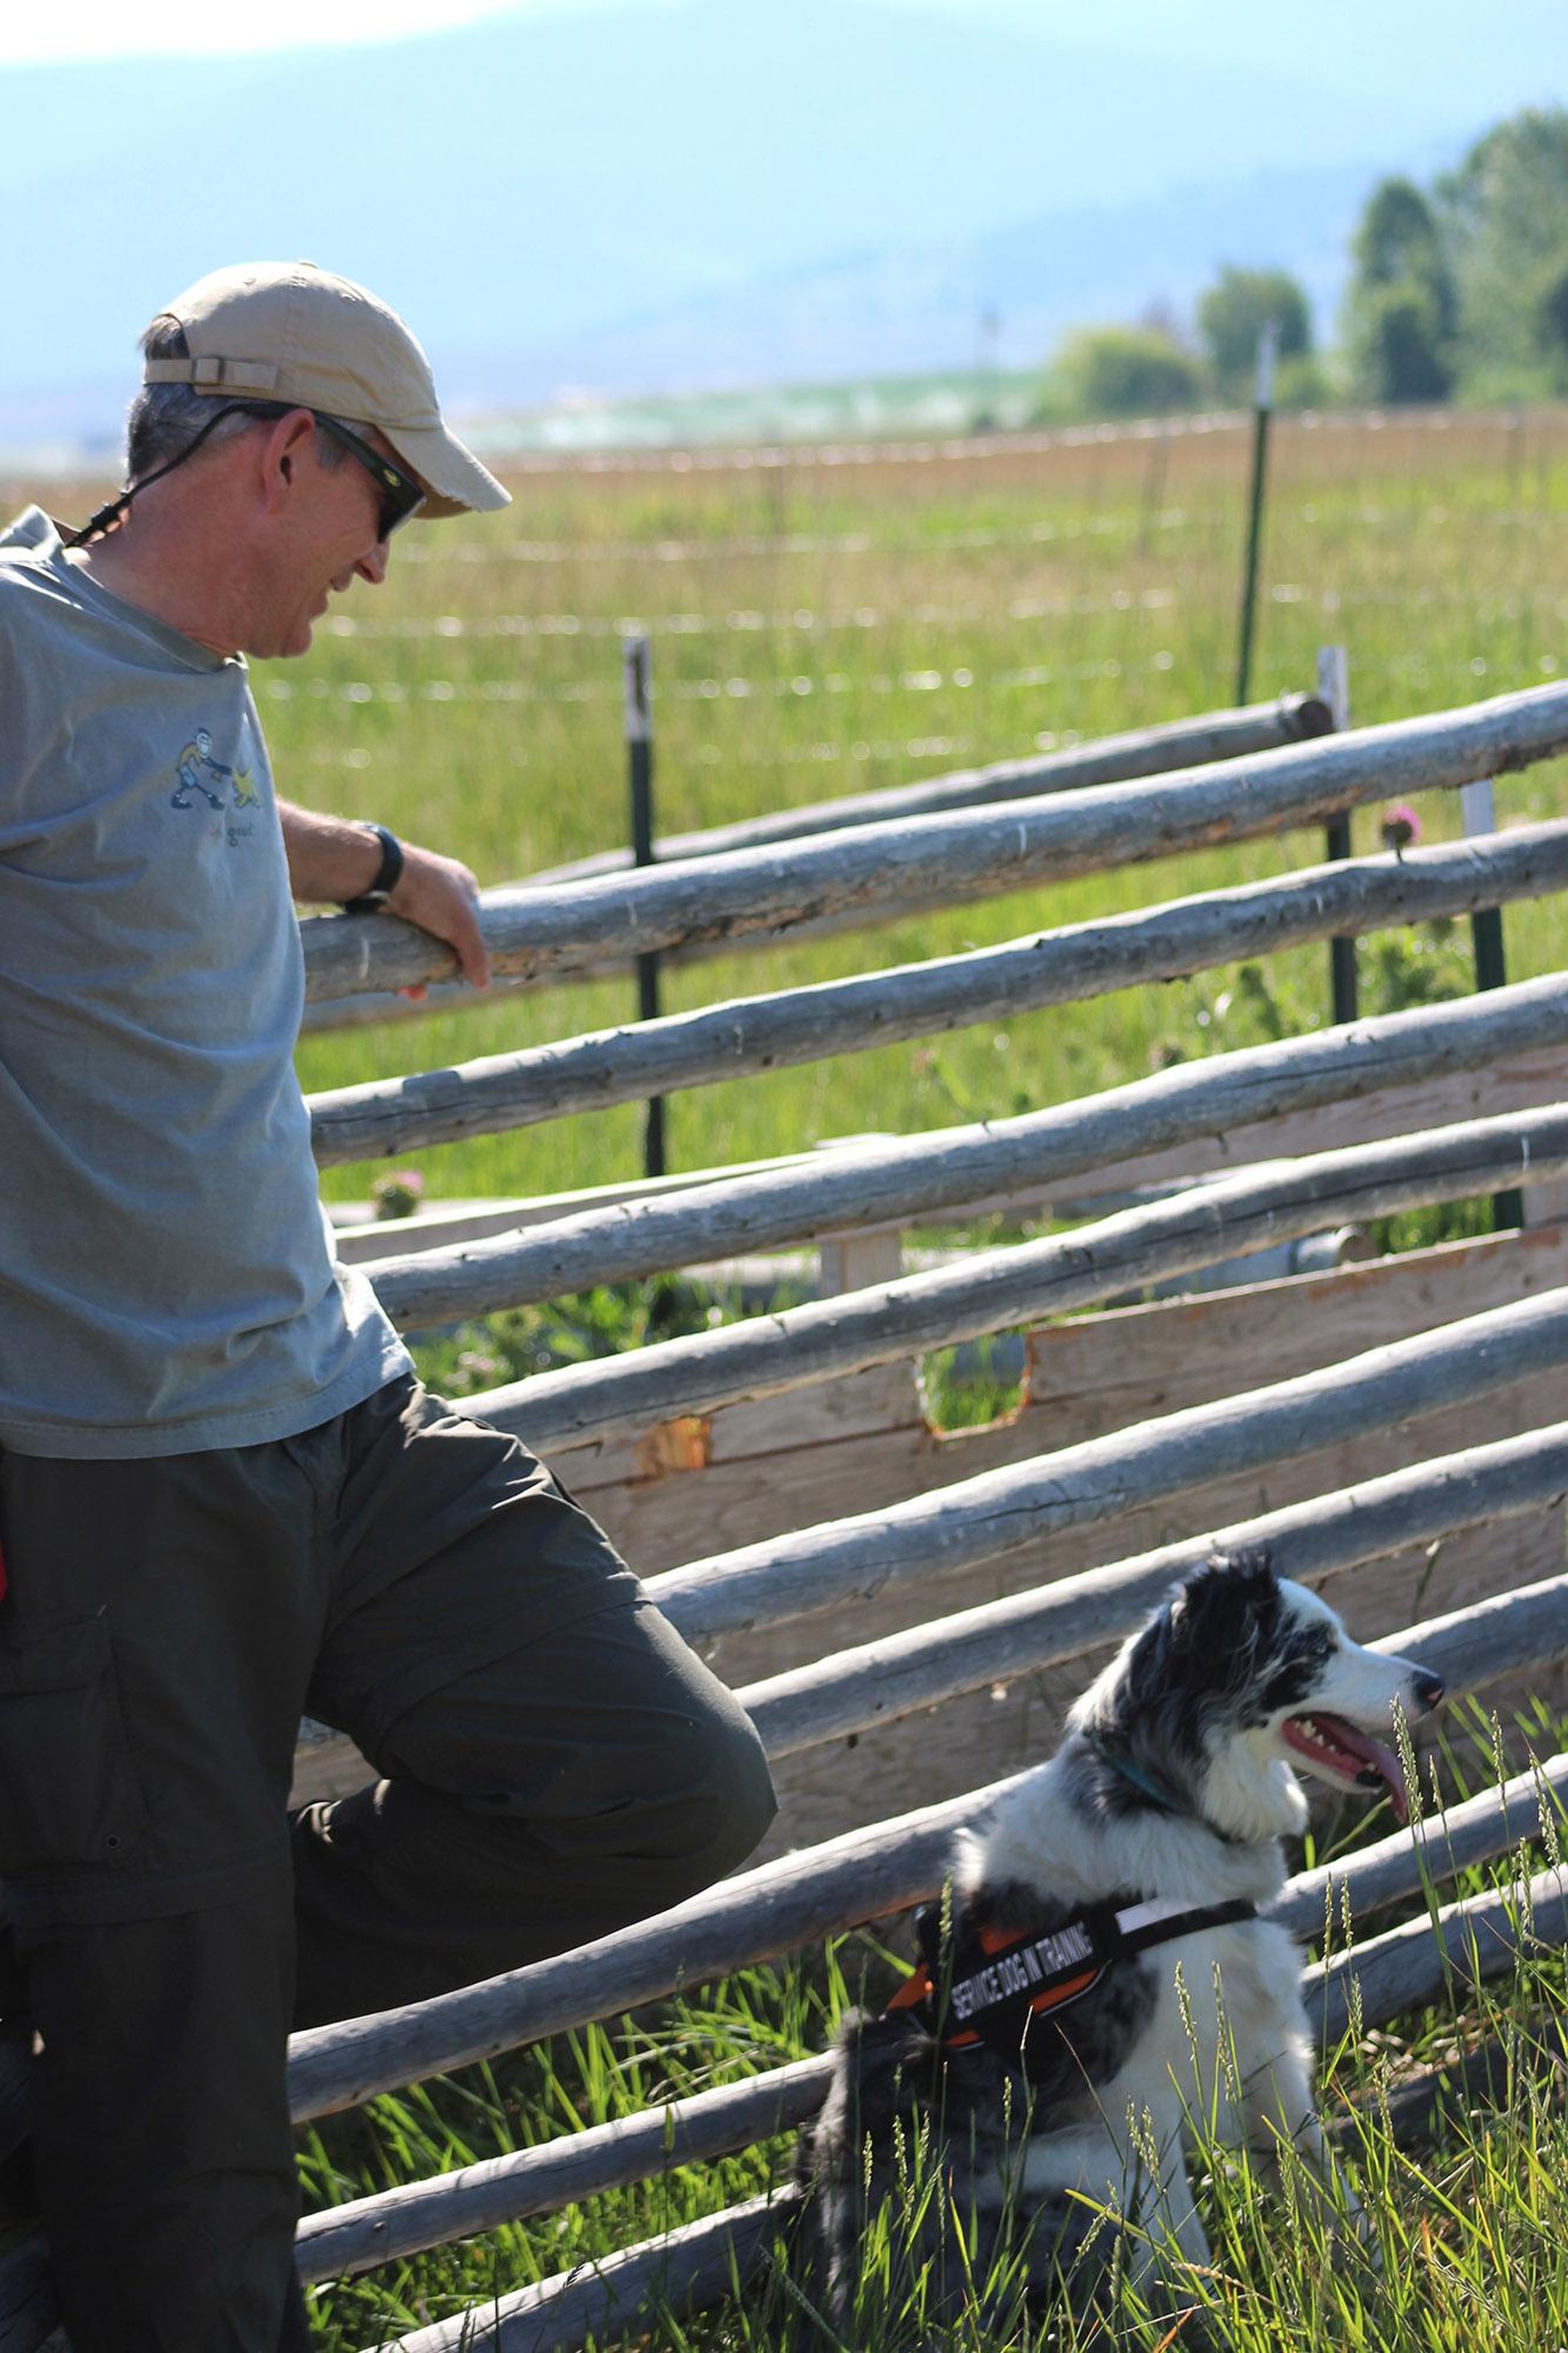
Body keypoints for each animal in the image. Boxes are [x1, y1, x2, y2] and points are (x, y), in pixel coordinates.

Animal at [800, 1543, 1450, 2334]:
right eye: (1318, 1647)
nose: (1435, 1685)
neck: (1166, 1802)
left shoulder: (1264, 2057)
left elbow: (1333, 2199)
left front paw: (1395, 2295)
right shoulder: (1139, 2106)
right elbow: (1187, 2254)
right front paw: (1220, 2325)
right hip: (1088, 2168)